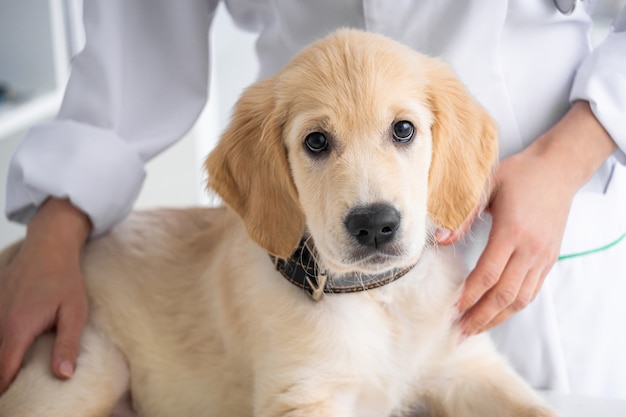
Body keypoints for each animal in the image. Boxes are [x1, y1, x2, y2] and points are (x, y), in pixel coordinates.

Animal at [0, 29, 556, 416]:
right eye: (316, 141)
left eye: (403, 130)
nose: (374, 225)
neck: (379, 298)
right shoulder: (300, 394)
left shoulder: (467, 368)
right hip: (84, 366)